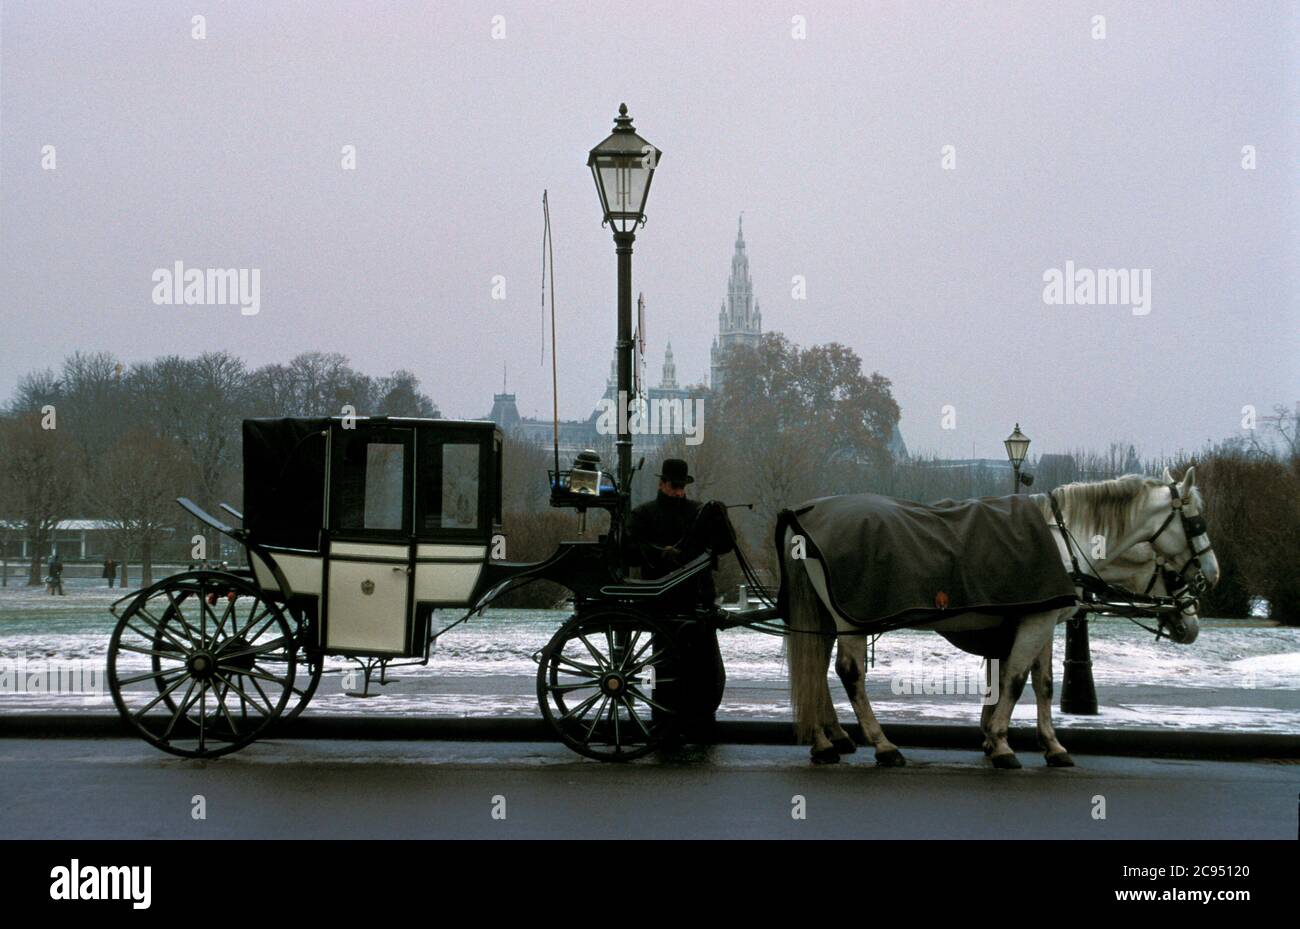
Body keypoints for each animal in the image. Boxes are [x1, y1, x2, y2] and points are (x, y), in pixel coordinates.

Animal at [780, 467, 1216, 769]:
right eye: (1196, 521)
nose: (1210, 576)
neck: (1063, 539)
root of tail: (806, 512)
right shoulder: (1034, 623)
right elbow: (1015, 680)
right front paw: (1002, 743)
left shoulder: (1040, 622)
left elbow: (1043, 684)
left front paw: (1049, 745)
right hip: (848, 620)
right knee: (848, 672)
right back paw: (882, 745)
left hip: (824, 617)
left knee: (813, 669)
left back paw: (824, 741)